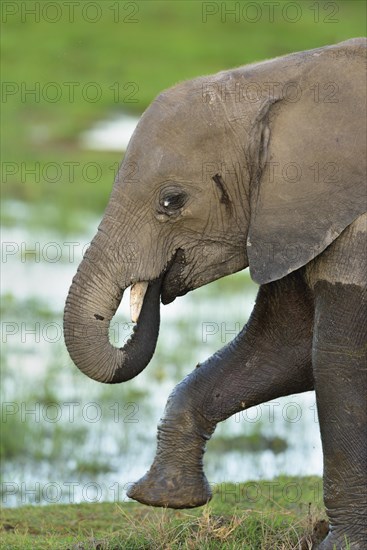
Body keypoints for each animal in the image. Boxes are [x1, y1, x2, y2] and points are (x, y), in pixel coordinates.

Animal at [64, 36, 366, 548]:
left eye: (172, 202)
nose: (154, 286)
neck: (285, 81)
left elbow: (337, 362)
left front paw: (342, 545)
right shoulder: (288, 214)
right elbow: (286, 347)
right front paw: (165, 498)